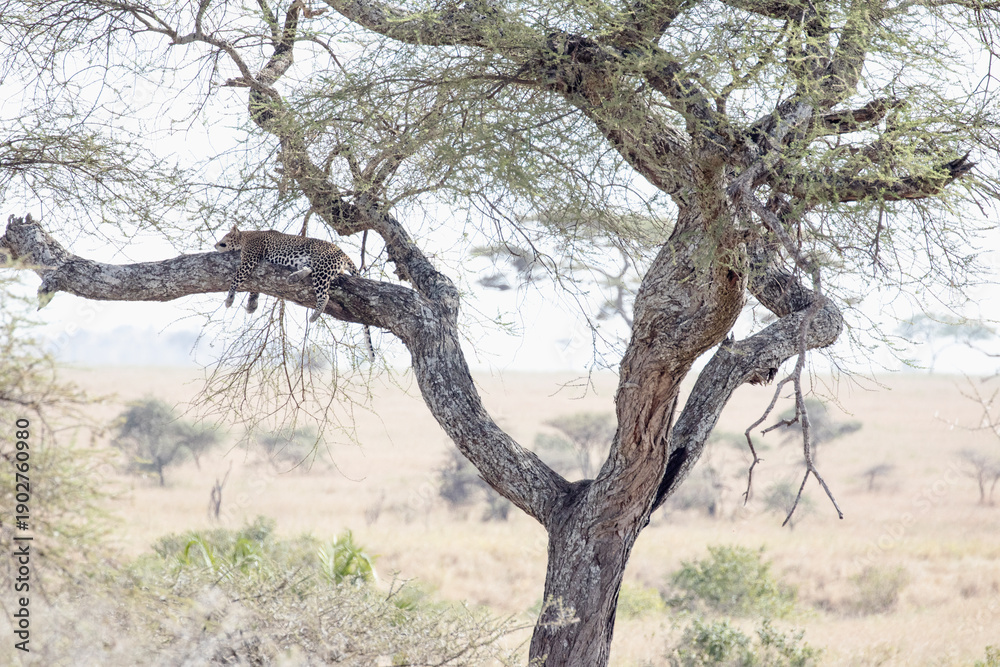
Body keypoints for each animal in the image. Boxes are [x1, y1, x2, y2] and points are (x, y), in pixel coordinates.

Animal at [214, 225, 374, 360]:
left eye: (224, 236)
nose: (214, 245)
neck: (246, 236)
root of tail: (343, 253)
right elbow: (254, 289)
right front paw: (252, 305)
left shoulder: (249, 260)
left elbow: (235, 279)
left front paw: (229, 299)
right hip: (311, 263)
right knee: (308, 269)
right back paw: (294, 277)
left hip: (322, 268)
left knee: (325, 295)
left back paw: (314, 315)